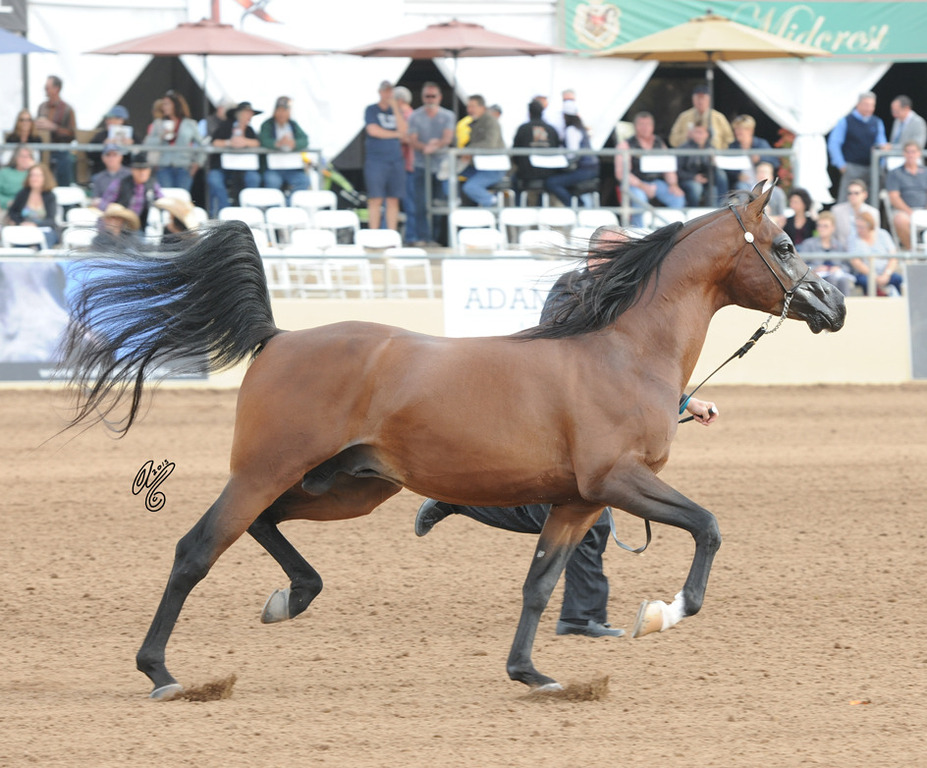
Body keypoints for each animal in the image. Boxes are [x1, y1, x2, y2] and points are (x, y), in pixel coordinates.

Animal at [61, 183, 845, 699]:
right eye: (784, 244)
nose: (833, 305)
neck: (623, 351)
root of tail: (278, 337)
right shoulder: (618, 481)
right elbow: (707, 526)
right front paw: (663, 614)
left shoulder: (576, 502)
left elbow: (540, 583)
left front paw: (532, 674)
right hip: (267, 470)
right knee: (196, 549)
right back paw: (162, 673)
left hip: (347, 487)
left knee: (264, 527)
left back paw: (292, 598)